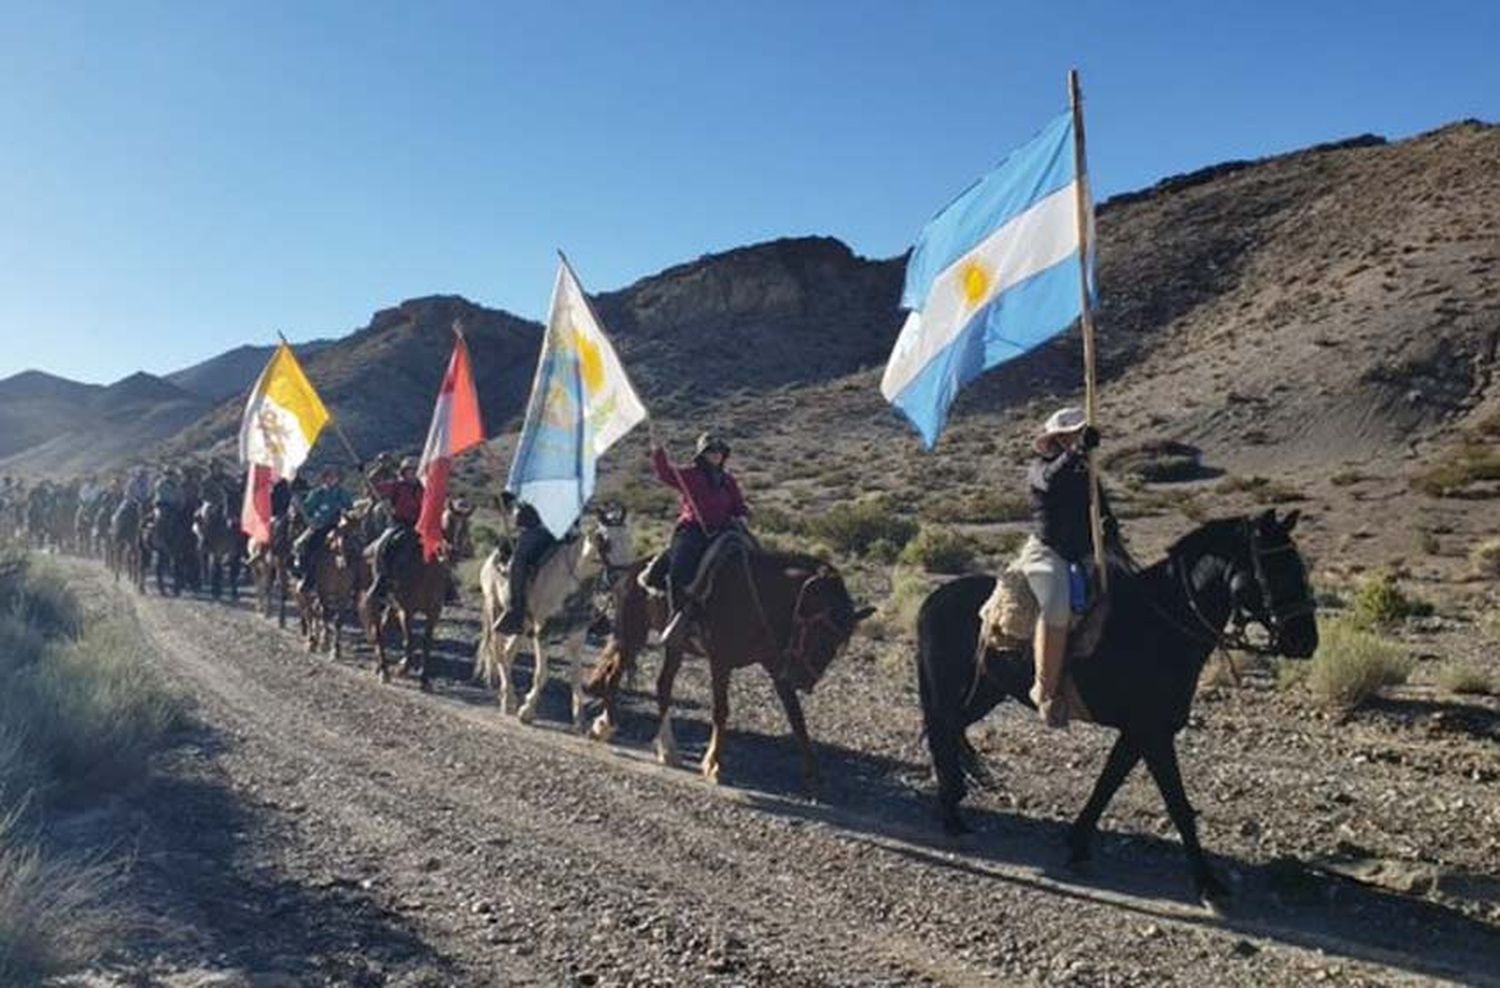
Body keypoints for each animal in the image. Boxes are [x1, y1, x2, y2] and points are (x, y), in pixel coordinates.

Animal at [360, 503, 471, 686]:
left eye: (466, 526)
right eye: (448, 520)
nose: (452, 552)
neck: (426, 570)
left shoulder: (434, 612)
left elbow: (426, 642)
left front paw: (424, 678)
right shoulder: (406, 611)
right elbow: (409, 640)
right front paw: (402, 668)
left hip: (391, 606)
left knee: (381, 629)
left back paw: (380, 667)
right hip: (380, 601)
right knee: (377, 630)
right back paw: (384, 671)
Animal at [471, 506, 630, 731]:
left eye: (629, 539)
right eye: (604, 540)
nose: (622, 579)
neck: (570, 583)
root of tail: (493, 556)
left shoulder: (577, 634)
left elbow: (576, 676)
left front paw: (579, 719)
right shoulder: (542, 631)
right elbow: (542, 673)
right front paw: (527, 712)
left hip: (522, 624)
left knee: (508, 653)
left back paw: (507, 698)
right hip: (495, 609)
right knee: (498, 652)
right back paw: (509, 699)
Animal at [582, 545, 876, 791]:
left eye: (838, 643)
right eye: (820, 632)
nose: (803, 680)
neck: (759, 599)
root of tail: (630, 570)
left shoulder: (776, 665)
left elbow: (796, 717)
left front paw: (814, 772)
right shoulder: (721, 662)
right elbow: (721, 711)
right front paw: (713, 764)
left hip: (673, 644)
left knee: (662, 685)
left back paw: (667, 749)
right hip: (633, 633)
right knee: (615, 675)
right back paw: (605, 726)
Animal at [912, 509, 1314, 905]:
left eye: (1298, 565)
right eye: (1275, 569)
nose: (1306, 641)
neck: (1162, 628)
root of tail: (931, 601)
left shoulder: (1137, 733)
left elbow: (1107, 784)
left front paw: (1077, 846)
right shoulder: (1153, 734)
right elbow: (1178, 805)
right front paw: (1208, 884)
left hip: (983, 694)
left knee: (949, 732)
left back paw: (955, 803)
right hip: (956, 692)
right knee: (943, 734)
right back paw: (952, 816)